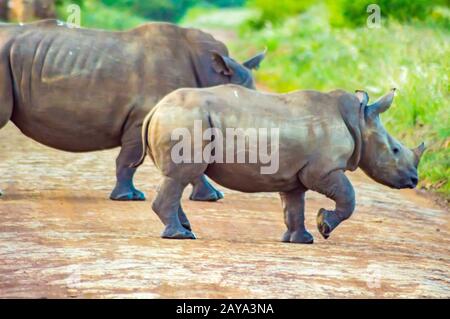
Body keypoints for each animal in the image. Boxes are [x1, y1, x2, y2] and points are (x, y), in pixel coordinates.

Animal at [134, 85, 426, 242]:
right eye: (395, 150)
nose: (414, 180)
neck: (358, 120)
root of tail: (156, 109)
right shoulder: (323, 170)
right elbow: (348, 197)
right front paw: (324, 227)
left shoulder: (295, 177)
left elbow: (294, 206)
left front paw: (301, 240)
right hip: (185, 121)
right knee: (180, 176)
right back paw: (180, 235)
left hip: (182, 119)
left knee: (176, 179)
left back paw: (185, 229)